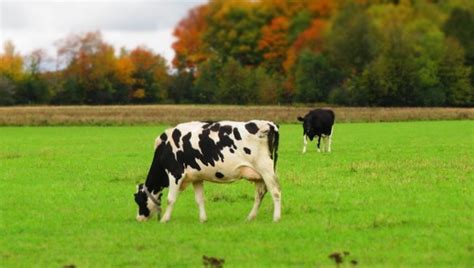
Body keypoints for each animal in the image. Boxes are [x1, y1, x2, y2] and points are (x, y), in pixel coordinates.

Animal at [132, 120, 282, 223]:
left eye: (138, 200)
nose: (139, 218)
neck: (164, 147)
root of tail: (269, 124)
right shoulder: (196, 177)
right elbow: (199, 199)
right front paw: (203, 219)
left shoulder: (175, 173)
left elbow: (170, 199)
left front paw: (164, 220)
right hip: (259, 175)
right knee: (260, 194)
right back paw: (250, 217)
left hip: (266, 169)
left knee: (275, 192)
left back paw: (276, 218)